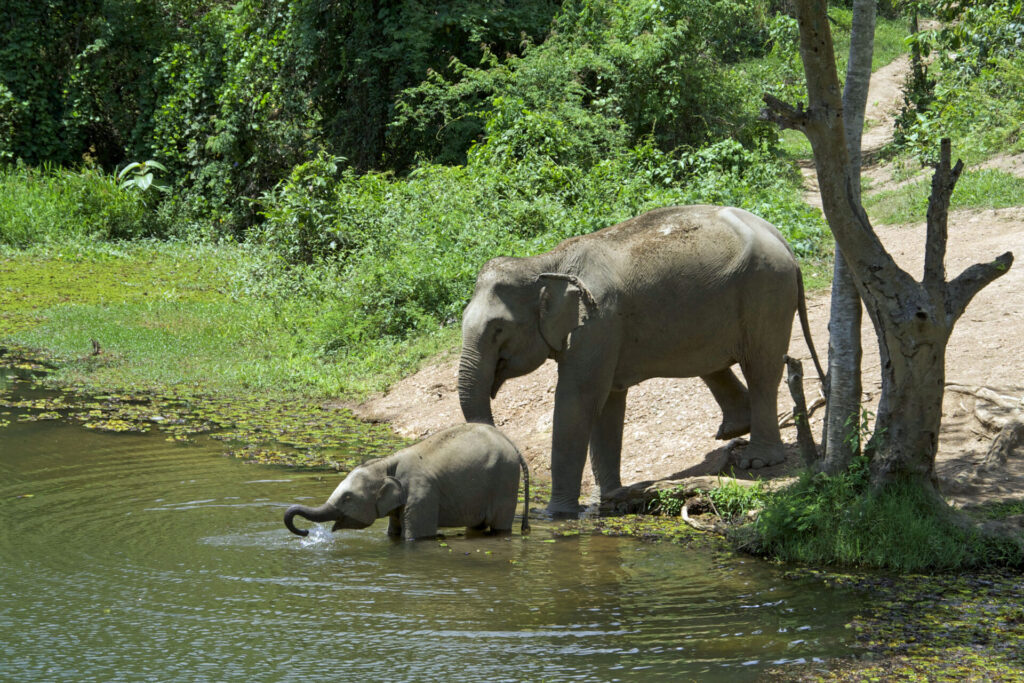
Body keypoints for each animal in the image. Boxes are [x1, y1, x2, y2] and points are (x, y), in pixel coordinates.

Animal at [284, 423, 530, 540]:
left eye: (347, 498)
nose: (306, 532)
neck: (385, 463)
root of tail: (512, 443)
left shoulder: (422, 495)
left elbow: (414, 537)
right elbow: (392, 533)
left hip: (505, 481)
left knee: (500, 526)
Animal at [458, 205, 823, 516]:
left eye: (498, 329)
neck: (546, 262)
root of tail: (781, 239)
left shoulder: (598, 322)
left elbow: (578, 401)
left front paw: (555, 515)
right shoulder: (602, 333)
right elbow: (606, 403)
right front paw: (609, 498)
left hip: (766, 293)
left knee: (762, 368)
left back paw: (758, 462)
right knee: (716, 363)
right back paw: (734, 429)